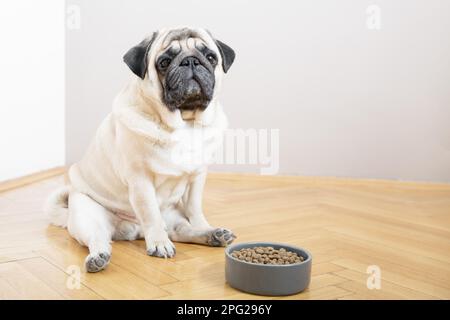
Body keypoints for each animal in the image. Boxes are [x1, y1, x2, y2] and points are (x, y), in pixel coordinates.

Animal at [44, 26, 237, 272]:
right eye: (164, 62)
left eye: (211, 57)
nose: (191, 61)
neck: (185, 124)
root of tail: (133, 231)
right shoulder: (140, 180)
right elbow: (150, 213)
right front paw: (159, 244)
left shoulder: (197, 177)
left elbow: (195, 207)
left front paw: (203, 225)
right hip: (88, 217)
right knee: (99, 237)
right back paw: (100, 256)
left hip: (173, 214)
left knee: (181, 230)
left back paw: (211, 235)